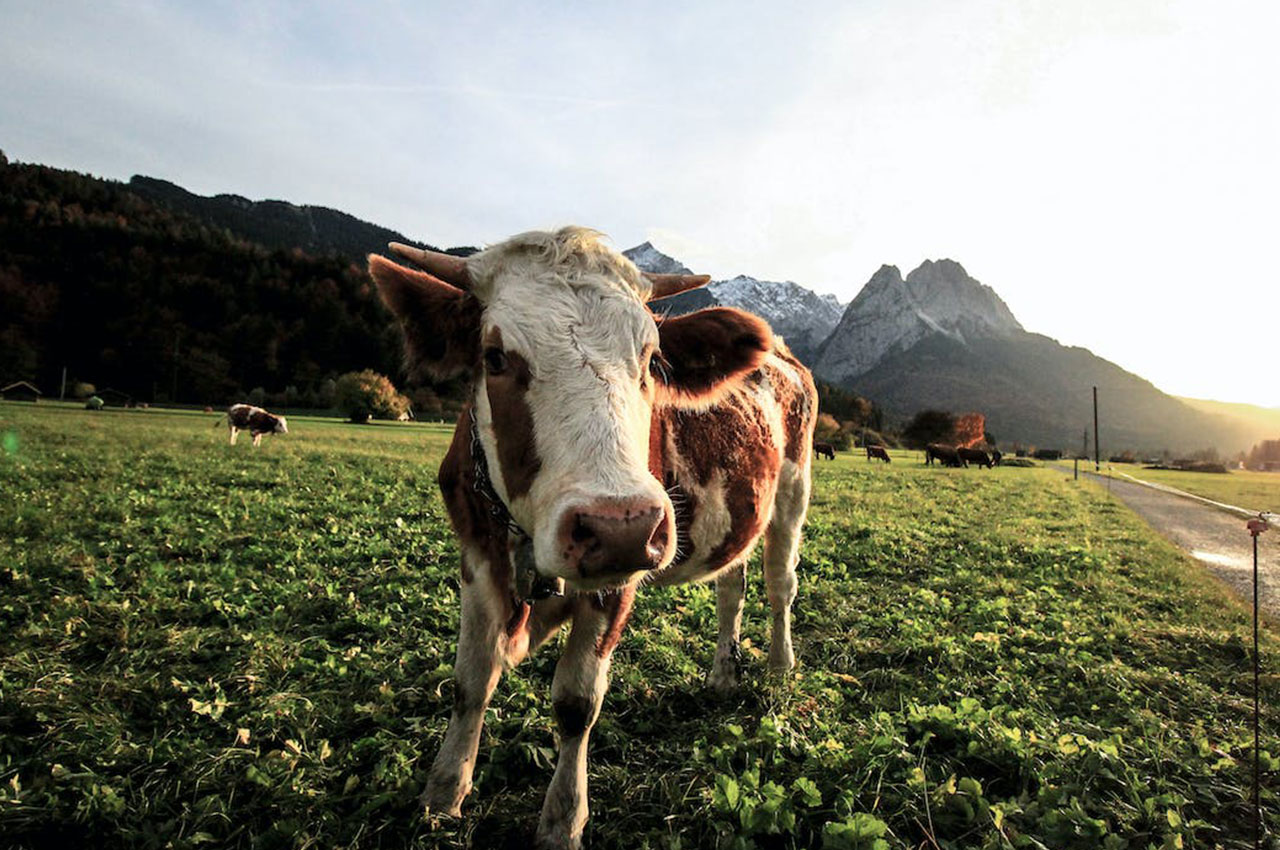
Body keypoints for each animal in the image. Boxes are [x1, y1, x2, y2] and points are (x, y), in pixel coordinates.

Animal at [368, 227, 819, 850]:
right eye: (495, 357)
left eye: (653, 359)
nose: (618, 526)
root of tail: (782, 354)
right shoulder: (476, 556)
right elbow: (470, 680)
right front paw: (444, 792)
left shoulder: (619, 577)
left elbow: (576, 702)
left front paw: (563, 819)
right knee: (732, 585)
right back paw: (724, 674)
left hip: (793, 493)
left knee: (780, 587)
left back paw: (778, 667)